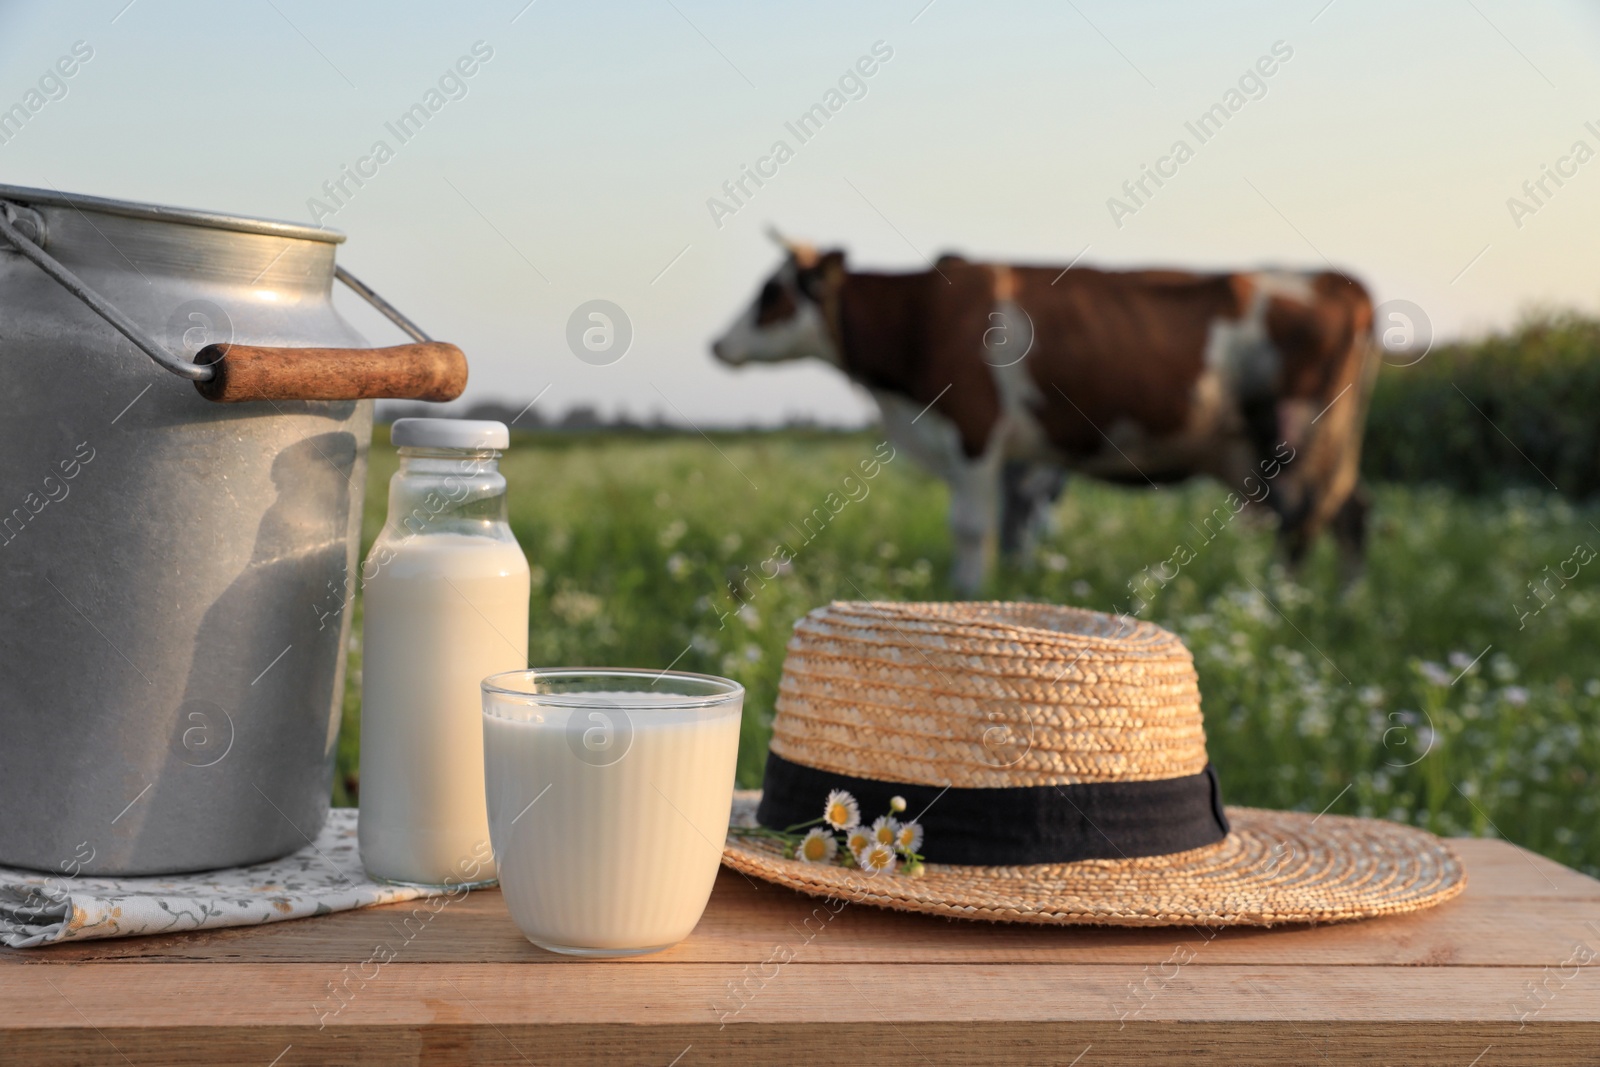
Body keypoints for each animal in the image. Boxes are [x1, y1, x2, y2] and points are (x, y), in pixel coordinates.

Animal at [710, 233, 1376, 598]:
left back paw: (1285, 605)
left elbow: (971, 528)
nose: (718, 344)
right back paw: (1342, 604)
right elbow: (1008, 530)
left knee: (1306, 521)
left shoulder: (975, 432)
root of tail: (1336, 281)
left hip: (1300, 436)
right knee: (1350, 514)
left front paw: (965, 595)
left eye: (771, 293)